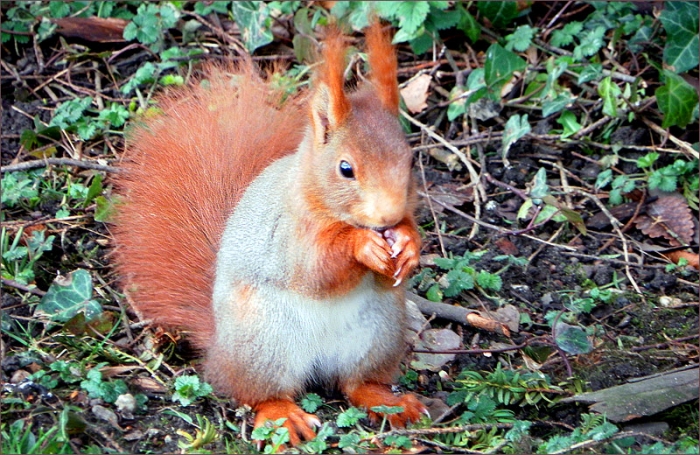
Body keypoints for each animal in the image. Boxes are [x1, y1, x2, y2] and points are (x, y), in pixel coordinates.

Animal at [112, 22, 427, 445]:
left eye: (410, 161)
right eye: (345, 169)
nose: (388, 215)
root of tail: (220, 350)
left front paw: (408, 244)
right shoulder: (288, 235)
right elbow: (317, 268)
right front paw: (363, 246)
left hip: (378, 332)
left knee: (356, 383)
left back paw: (391, 402)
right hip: (264, 340)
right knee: (259, 393)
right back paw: (283, 416)